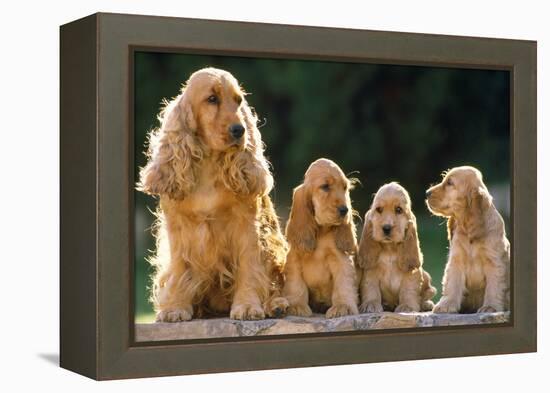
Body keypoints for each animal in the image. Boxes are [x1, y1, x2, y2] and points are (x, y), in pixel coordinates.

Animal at [139, 66, 288, 320]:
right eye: (212, 99)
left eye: (238, 101)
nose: (240, 130)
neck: (208, 165)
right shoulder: (177, 228)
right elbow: (179, 269)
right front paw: (175, 308)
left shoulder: (246, 225)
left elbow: (249, 267)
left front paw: (247, 306)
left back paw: (275, 304)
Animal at [282, 158, 360, 316]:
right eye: (325, 186)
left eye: (345, 187)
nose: (345, 210)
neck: (322, 231)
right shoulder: (294, 258)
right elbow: (296, 284)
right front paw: (297, 306)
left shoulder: (341, 259)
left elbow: (343, 284)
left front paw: (343, 306)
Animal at [358, 183, 440, 312]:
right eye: (379, 209)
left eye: (398, 210)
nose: (386, 228)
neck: (390, 249)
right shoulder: (370, 270)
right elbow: (371, 287)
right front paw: (370, 304)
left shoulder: (412, 273)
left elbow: (408, 289)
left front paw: (407, 306)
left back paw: (426, 305)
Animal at [426, 165, 512, 312]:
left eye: (450, 183)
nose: (426, 193)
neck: (467, 230)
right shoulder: (456, 260)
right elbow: (452, 283)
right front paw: (446, 305)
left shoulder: (495, 262)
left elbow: (494, 286)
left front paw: (490, 307)